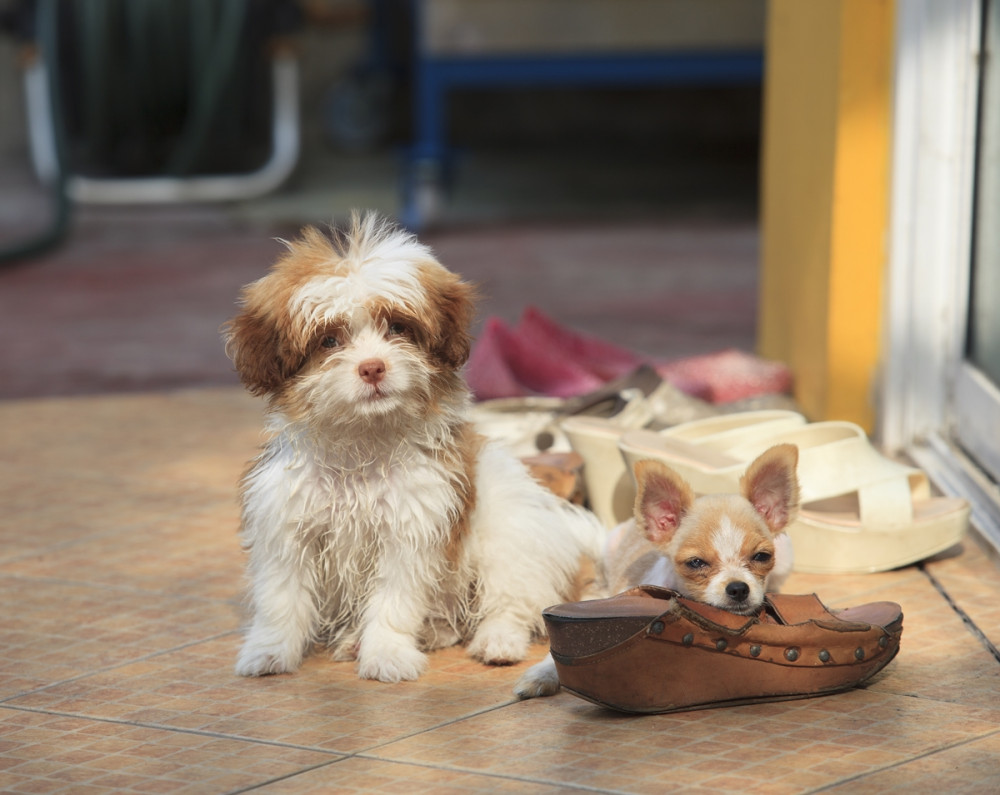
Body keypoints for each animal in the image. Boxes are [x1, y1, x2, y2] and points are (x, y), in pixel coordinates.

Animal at [227, 213, 600, 684]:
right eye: (328, 341)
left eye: (397, 327)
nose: (373, 368)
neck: (362, 447)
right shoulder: (287, 527)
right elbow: (281, 597)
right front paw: (269, 651)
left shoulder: (409, 533)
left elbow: (394, 601)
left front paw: (386, 654)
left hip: (510, 531)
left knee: (512, 599)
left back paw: (497, 642)